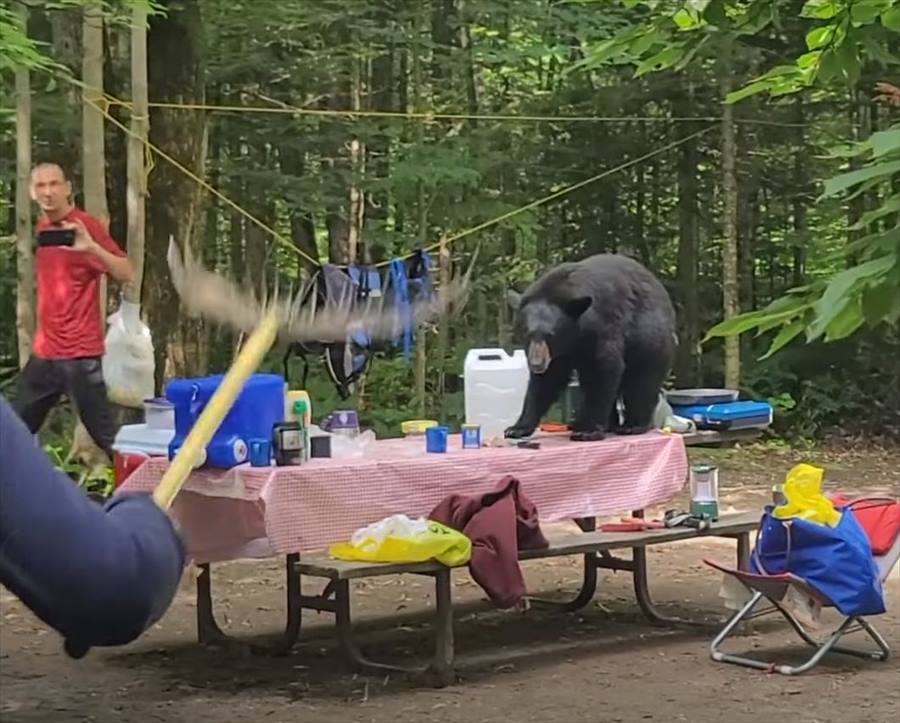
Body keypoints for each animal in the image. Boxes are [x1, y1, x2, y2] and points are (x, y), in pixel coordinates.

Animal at [506, 258, 676, 444]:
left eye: (550, 335)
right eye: (527, 333)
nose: (536, 364)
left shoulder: (603, 329)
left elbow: (603, 371)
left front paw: (588, 431)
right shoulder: (557, 355)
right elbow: (546, 382)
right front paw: (517, 428)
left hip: (649, 339)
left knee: (641, 381)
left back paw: (633, 425)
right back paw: (608, 425)